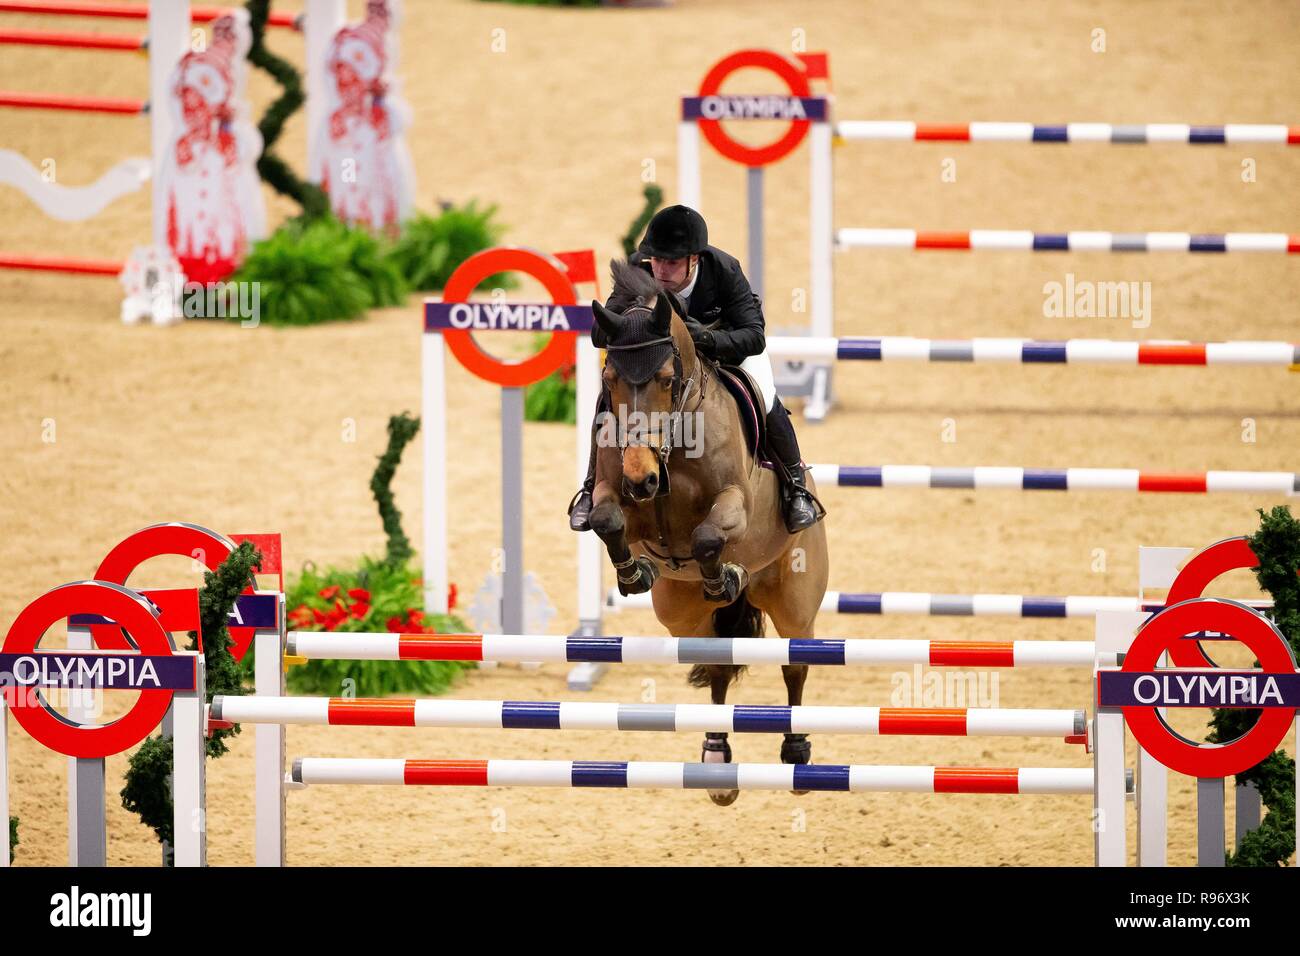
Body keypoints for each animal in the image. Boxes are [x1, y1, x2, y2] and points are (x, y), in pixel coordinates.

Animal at [587, 259, 830, 805]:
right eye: (609, 377)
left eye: (665, 378)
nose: (642, 477)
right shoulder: (616, 494)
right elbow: (606, 520)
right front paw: (633, 573)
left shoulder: (734, 503)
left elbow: (706, 537)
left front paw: (725, 575)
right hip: (680, 614)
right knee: (718, 663)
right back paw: (717, 757)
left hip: (795, 599)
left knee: (795, 663)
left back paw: (797, 751)